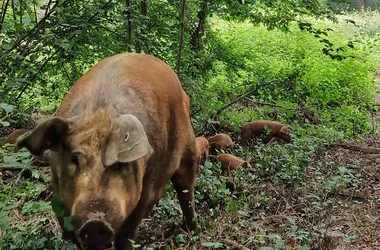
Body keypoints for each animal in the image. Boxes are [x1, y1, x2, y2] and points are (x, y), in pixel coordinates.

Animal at [15, 53, 199, 250]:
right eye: (74, 158)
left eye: (120, 163)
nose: (95, 223)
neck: (100, 113)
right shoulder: (57, 190)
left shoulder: (151, 184)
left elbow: (128, 230)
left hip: (188, 144)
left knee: (186, 187)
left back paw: (191, 228)